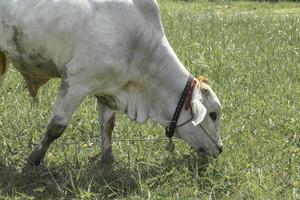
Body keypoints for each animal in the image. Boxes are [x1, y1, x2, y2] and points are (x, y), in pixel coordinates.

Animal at [0, 0, 220, 166]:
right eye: (213, 114)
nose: (220, 149)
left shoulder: (108, 89)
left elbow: (107, 125)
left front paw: (107, 159)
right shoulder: (76, 82)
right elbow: (56, 126)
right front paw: (34, 158)